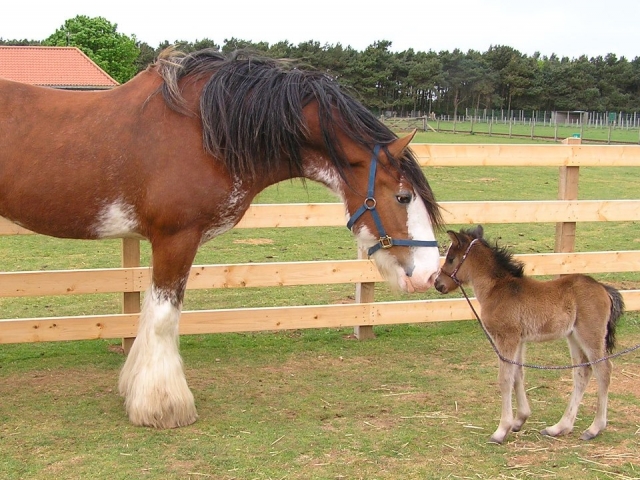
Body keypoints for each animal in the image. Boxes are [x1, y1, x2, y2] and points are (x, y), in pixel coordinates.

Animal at [0, 48, 443, 428]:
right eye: (403, 196)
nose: (429, 275)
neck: (205, 131)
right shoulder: (175, 238)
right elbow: (163, 319)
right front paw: (163, 408)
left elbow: (149, 315)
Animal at [434, 225, 624, 444]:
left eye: (450, 258)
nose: (438, 283)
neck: (497, 289)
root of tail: (603, 288)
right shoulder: (519, 340)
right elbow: (518, 375)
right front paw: (519, 420)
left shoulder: (507, 338)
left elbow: (505, 379)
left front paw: (501, 430)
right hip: (573, 337)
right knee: (582, 373)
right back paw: (559, 427)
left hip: (590, 334)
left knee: (604, 371)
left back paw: (594, 428)